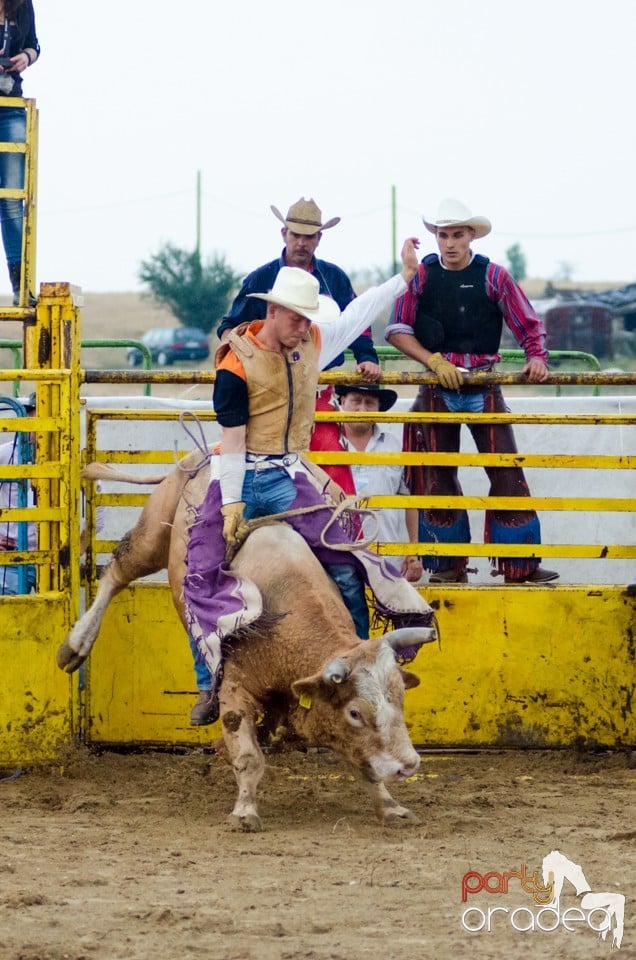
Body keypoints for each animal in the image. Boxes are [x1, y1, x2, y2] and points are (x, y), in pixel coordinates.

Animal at [57, 454, 438, 828]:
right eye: (355, 712)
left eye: (399, 699)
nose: (408, 764)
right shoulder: (235, 690)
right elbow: (248, 756)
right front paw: (244, 812)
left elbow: (364, 765)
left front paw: (391, 807)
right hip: (152, 534)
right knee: (117, 573)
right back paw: (75, 646)